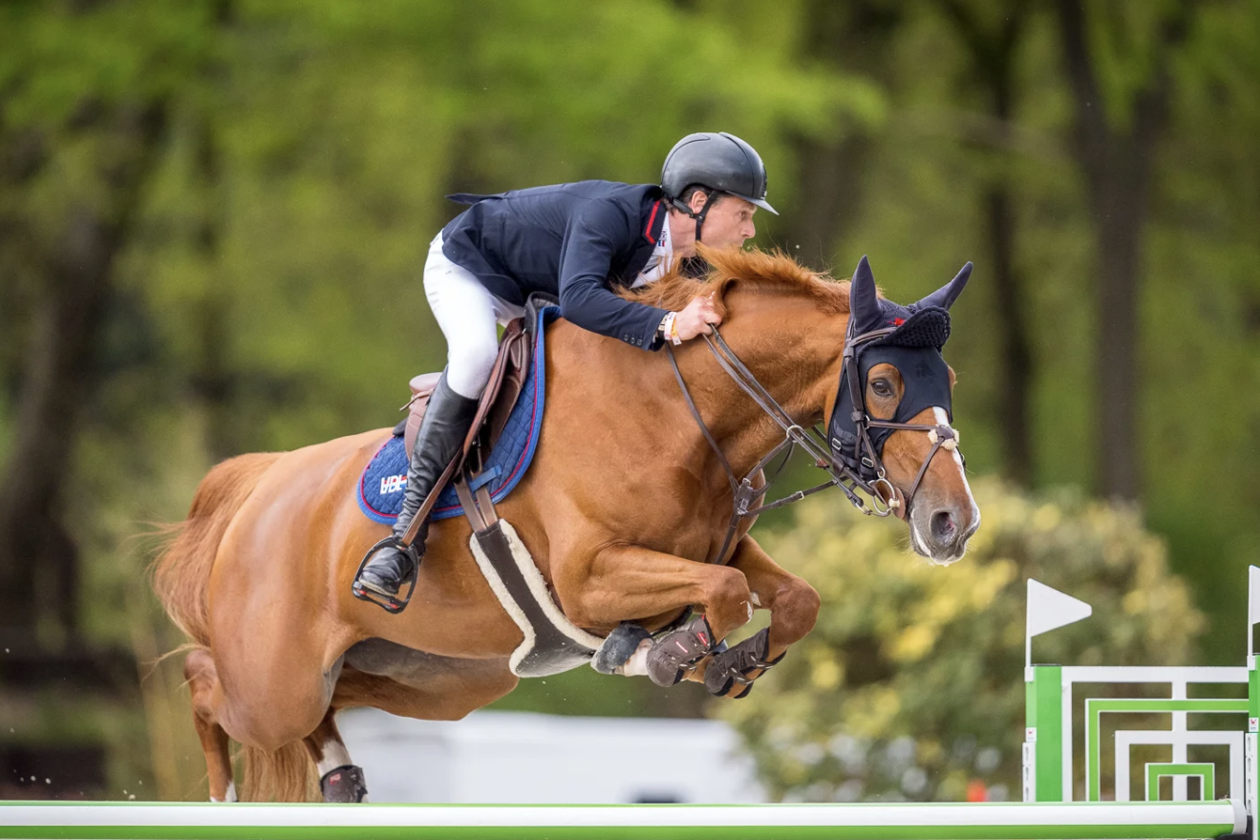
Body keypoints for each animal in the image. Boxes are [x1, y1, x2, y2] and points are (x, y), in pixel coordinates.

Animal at [151, 246, 980, 802]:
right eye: (883, 382)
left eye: (949, 380)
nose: (954, 523)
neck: (676, 411)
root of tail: (255, 488)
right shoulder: (588, 579)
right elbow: (723, 594)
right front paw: (667, 653)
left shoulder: (722, 544)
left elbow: (788, 597)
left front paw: (721, 661)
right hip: (274, 684)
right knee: (203, 681)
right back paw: (224, 796)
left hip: (422, 676)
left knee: (322, 707)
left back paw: (341, 777)